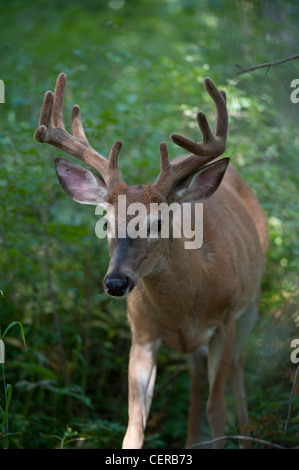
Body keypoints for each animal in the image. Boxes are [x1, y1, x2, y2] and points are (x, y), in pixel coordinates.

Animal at [34, 72, 270, 448]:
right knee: (197, 379)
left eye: (158, 222)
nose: (116, 283)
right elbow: (134, 425)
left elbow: (217, 412)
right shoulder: (142, 334)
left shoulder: (225, 322)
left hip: (252, 303)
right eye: (105, 223)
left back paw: (247, 434)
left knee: (238, 369)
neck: (187, 301)